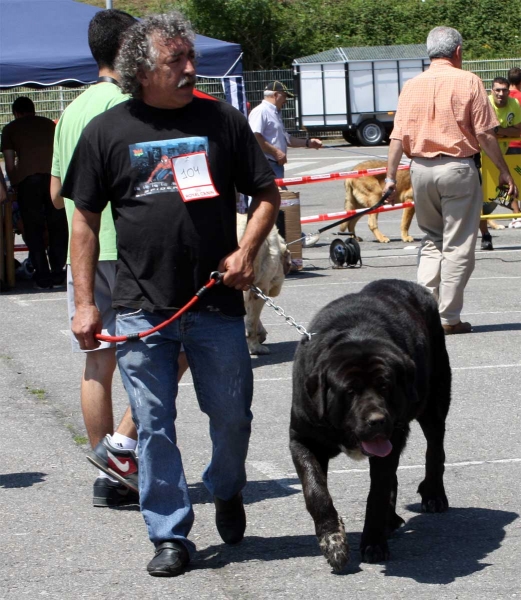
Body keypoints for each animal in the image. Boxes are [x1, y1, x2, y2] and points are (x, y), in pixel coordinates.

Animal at [288, 278, 450, 568]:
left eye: (385, 386)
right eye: (350, 391)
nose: (377, 420)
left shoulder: (393, 435)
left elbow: (377, 492)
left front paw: (374, 544)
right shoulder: (302, 438)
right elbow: (315, 490)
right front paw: (333, 541)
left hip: (434, 400)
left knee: (435, 448)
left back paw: (433, 495)